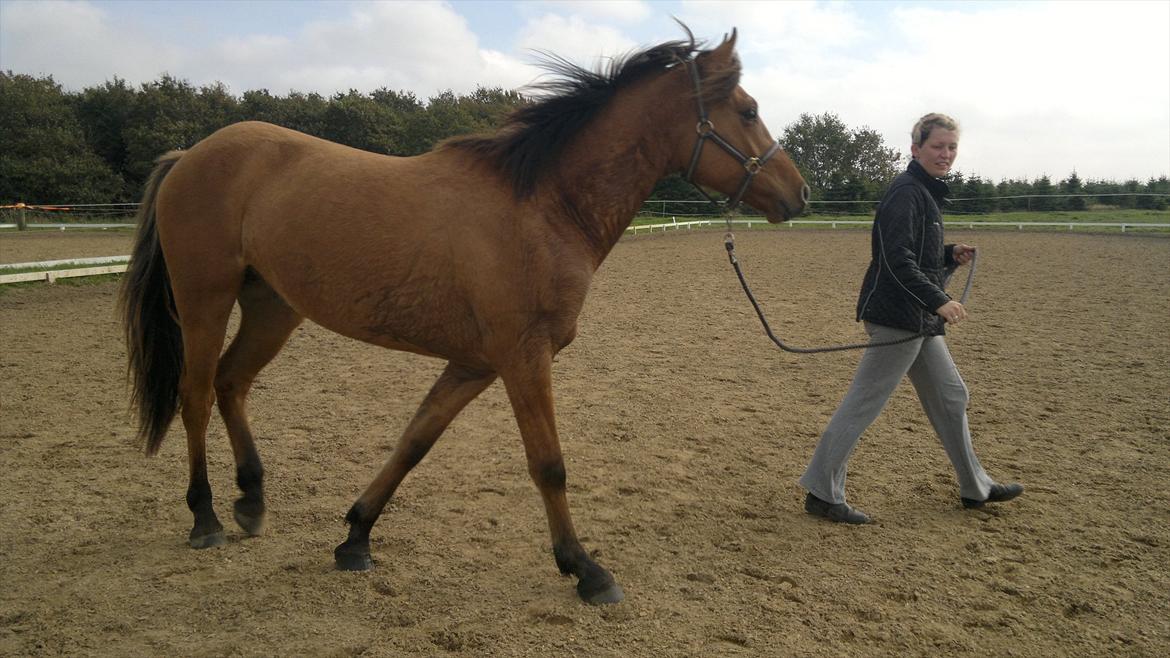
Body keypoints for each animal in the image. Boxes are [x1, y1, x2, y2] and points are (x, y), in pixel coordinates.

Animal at [120, 26, 809, 605]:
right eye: (748, 110)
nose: (798, 193)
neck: (543, 206)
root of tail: (189, 155)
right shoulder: (523, 359)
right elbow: (549, 465)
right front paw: (584, 568)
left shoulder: (474, 363)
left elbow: (414, 442)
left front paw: (356, 537)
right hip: (205, 301)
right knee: (196, 395)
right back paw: (206, 516)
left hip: (272, 308)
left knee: (233, 383)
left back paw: (253, 499)